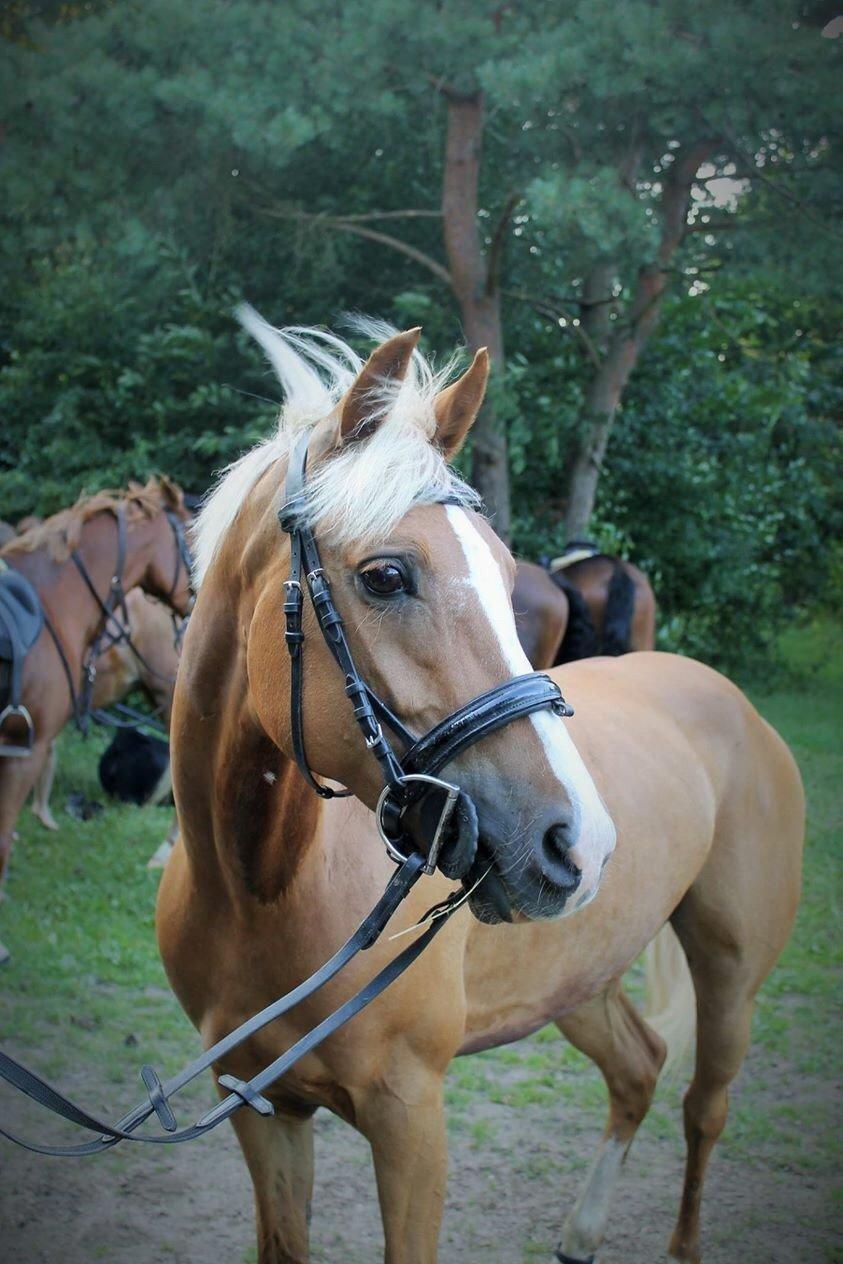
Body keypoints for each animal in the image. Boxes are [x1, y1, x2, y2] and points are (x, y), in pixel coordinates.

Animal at [159, 316, 803, 1264]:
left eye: (507, 579)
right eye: (386, 575)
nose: (577, 842)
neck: (259, 892)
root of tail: (725, 697)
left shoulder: (409, 1119)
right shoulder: (259, 1109)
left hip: (728, 980)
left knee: (702, 1109)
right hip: (580, 976)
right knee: (638, 1069)